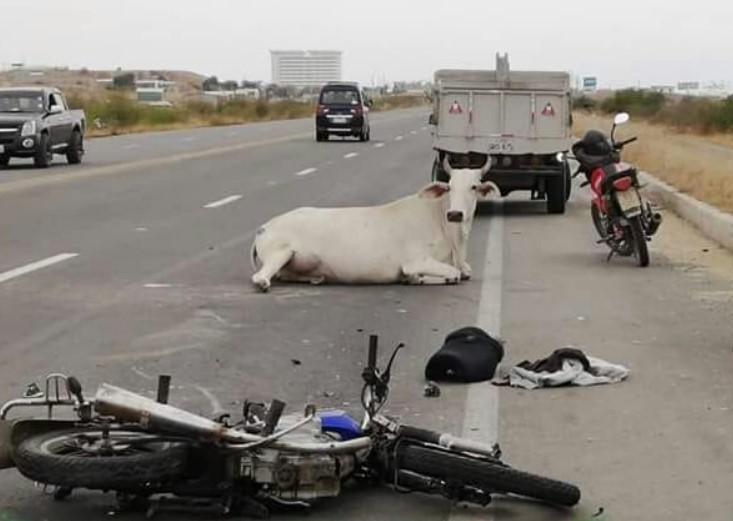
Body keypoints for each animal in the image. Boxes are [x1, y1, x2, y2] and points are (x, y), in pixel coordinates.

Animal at [250, 158, 498, 291]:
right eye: (449, 186)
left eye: (474, 187)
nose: (455, 213)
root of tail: (263, 227)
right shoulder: (415, 261)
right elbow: (453, 273)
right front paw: (415, 278)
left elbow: (463, 272)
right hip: (279, 253)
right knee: (261, 277)